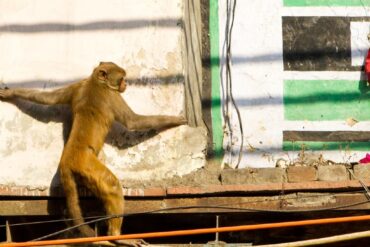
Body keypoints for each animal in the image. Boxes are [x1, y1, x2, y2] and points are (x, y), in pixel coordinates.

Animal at [0, 61, 185, 245]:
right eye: (122, 78)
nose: (126, 84)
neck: (96, 82)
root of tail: (66, 160)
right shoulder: (112, 96)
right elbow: (133, 122)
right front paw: (175, 120)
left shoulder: (79, 85)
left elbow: (47, 98)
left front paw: (11, 93)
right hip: (86, 164)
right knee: (112, 185)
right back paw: (117, 236)